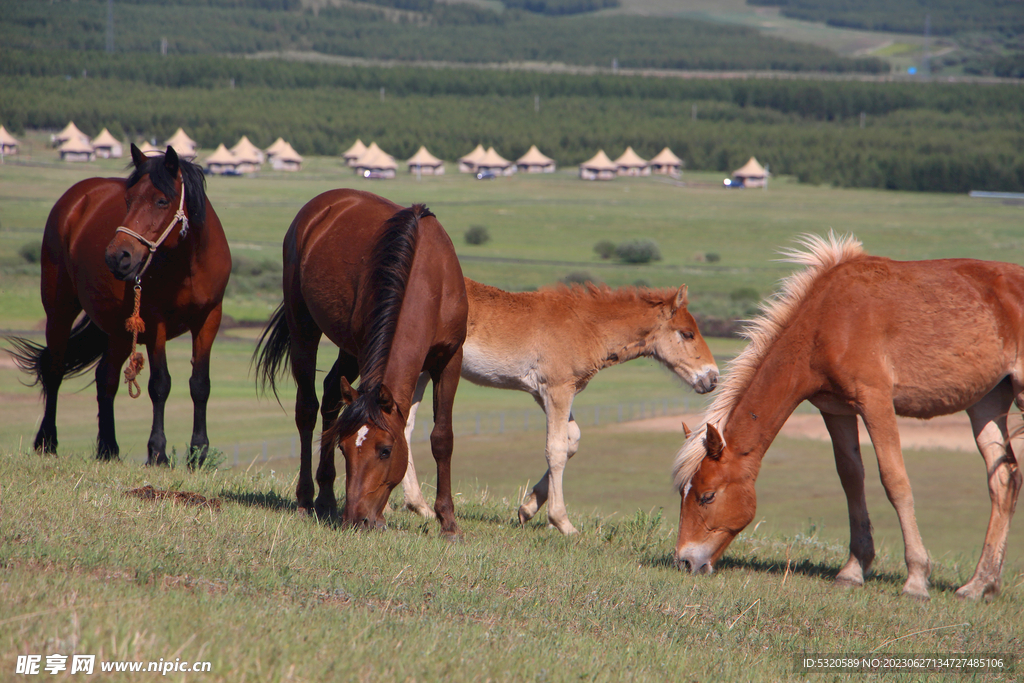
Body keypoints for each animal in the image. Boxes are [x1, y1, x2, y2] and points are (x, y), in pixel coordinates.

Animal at [8, 142, 232, 466]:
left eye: (162, 201)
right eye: (128, 200)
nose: (117, 256)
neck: (188, 263)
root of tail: (77, 199)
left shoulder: (209, 319)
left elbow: (200, 384)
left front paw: (198, 454)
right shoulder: (155, 323)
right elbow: (160, 385)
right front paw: (158, 452)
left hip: (118, 331)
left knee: (107, 379)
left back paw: (108, 448)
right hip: (59, 308)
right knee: (55, 370)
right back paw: (47, 441)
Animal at [253, 188, 466, 532]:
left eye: (385, 451)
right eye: (344, 447)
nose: (357, 518)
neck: (428, 275)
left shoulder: (450, 358)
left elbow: (442, 437)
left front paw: (448, 522)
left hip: (348, 352)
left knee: (330, 395)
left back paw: (326, 499)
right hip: (305, 330)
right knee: (307, 409)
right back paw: (307, 499)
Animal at [395, 278, 716, 532]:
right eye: (687, 333)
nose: (712, 377)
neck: (586, 326)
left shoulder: (544, 393)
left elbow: (571, 440)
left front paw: (527, 509)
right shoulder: (557, 389)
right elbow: (556, 449)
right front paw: (562, 522)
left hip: (423, 369)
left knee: (405, 424)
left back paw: (418, 505)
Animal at [675, 233, 1019, 598]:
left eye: (707, 496)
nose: (684, 561)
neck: (827, 319)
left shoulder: (876, 401)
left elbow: (895, 481)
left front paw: (916, 578)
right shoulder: (835, 409)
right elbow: (851, 479)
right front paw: (854, 569)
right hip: (986, 402)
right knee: (1004, 479)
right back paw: (981, 584)